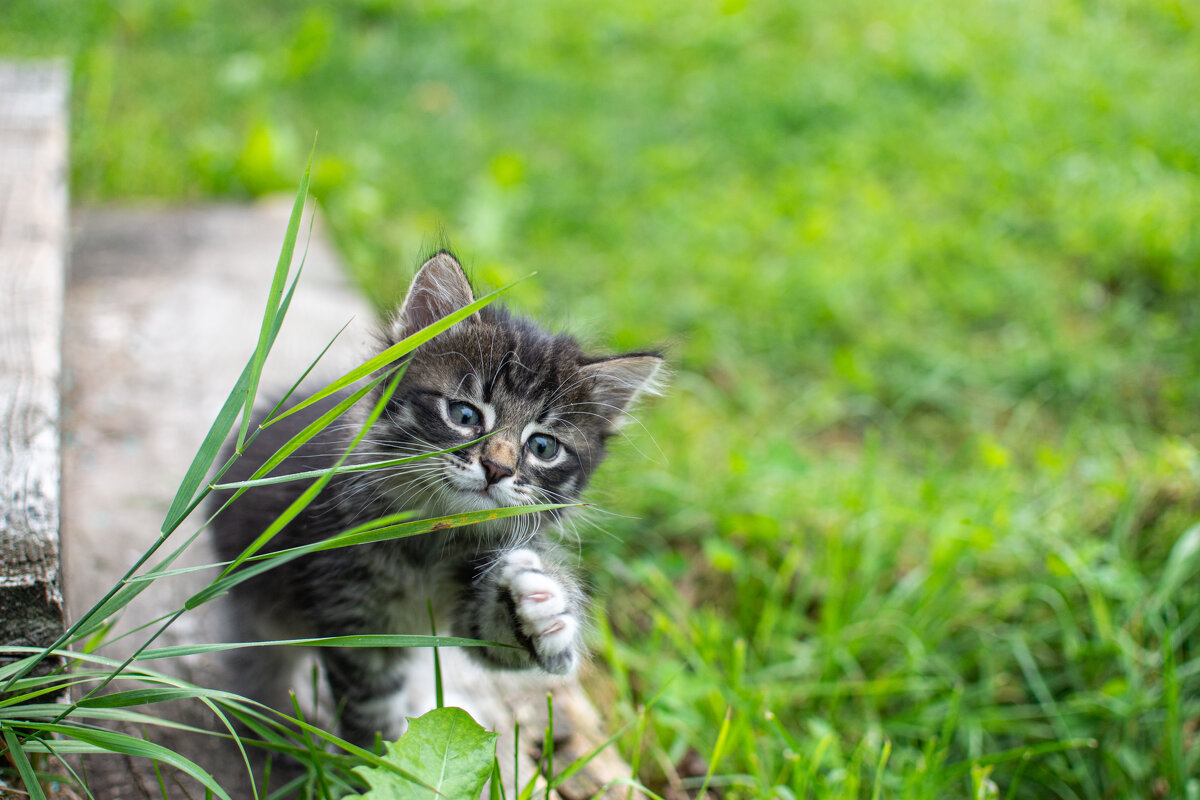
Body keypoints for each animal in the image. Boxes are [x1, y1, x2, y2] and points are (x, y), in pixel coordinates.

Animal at [213, 253, 667, 748]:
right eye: (464, 415)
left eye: (543, 447)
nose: (497, 469)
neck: (431, 537)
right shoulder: (352, 616)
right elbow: (372, 705)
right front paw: (378, 756)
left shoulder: (471, 600)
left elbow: (498, 639)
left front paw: (544, 603)